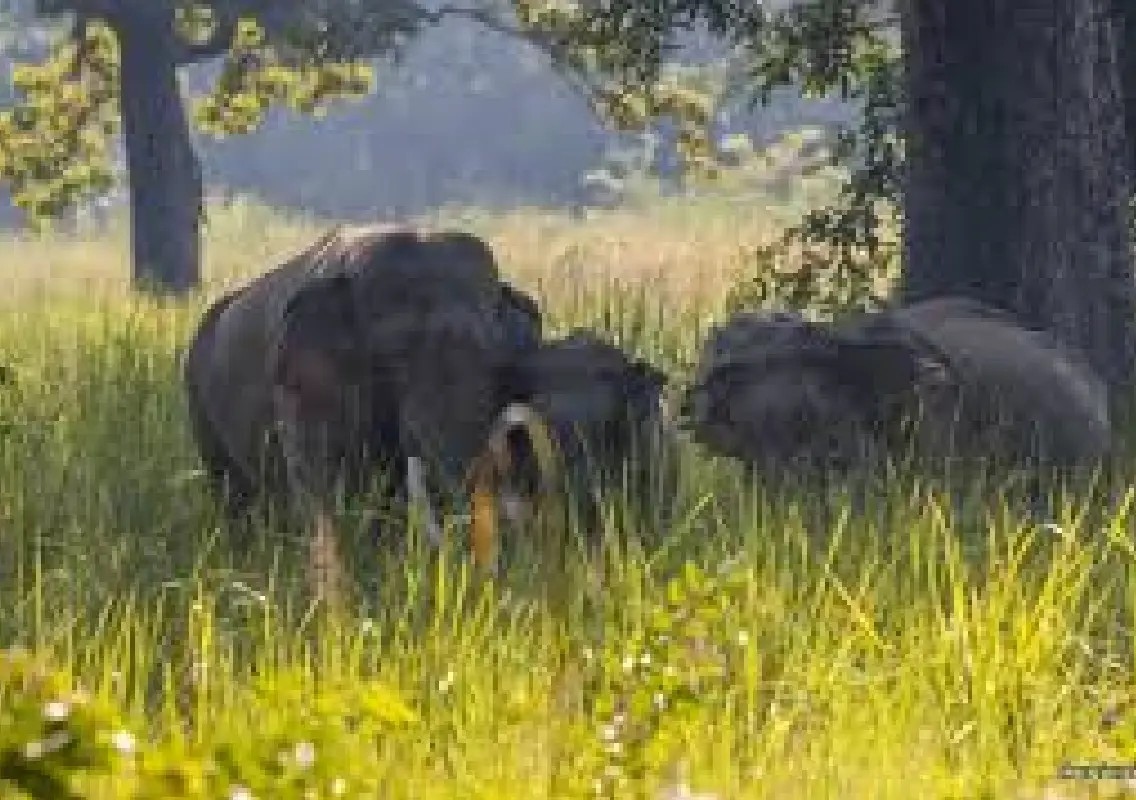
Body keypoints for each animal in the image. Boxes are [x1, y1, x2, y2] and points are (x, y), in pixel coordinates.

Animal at [183, 223, 543, 600]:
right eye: (393, 356)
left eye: (496, 358)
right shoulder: (302, 385)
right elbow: (324, 485)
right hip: (197, 398)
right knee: (233, 497)